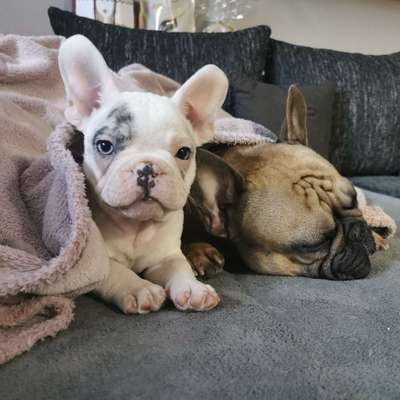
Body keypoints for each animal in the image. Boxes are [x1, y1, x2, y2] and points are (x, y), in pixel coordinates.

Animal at [59, 36, 228, 314]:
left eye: (183, 152)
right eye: (104, 146)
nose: (147, 167)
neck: (136, 227)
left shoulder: (165, 257)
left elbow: (179, 266)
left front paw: (192, 288)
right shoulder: (93, 266)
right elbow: (115, 271)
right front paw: (140, 289)